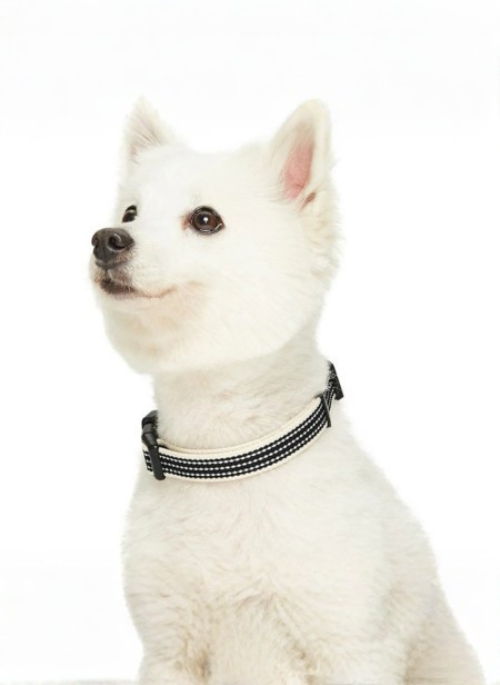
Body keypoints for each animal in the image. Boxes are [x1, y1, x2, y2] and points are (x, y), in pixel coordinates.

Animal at [90, 99, 484, 684]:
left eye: (205, 219)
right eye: (131, 212)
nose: (106, 239)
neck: (226, 458)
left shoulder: (349, 645)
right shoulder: (169, 650)